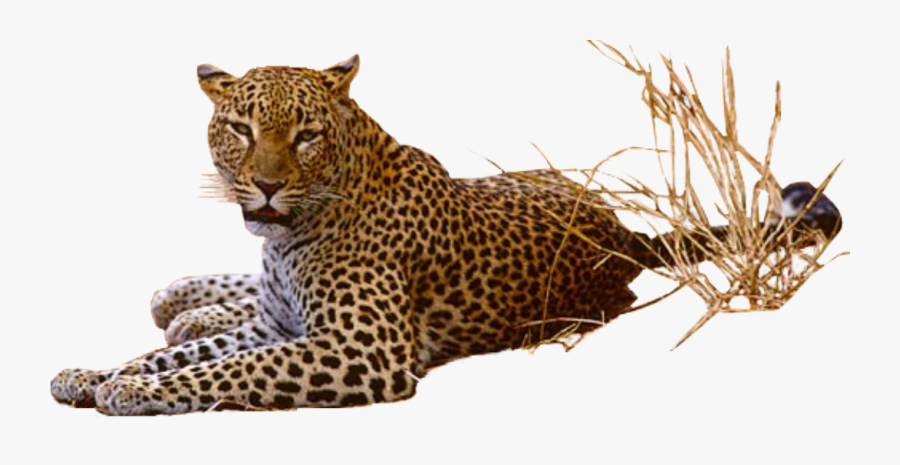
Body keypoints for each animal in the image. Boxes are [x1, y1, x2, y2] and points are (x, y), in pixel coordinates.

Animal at [50, 55, 842, 415]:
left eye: (305, 135)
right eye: (240, 128)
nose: (266, 186)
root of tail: (623, 232)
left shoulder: (360, 349)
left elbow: (227, 371)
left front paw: (127, 390)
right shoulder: (281, 324)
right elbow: (179, 354)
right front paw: (95, 373)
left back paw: (185, 304)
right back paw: (186, 301)